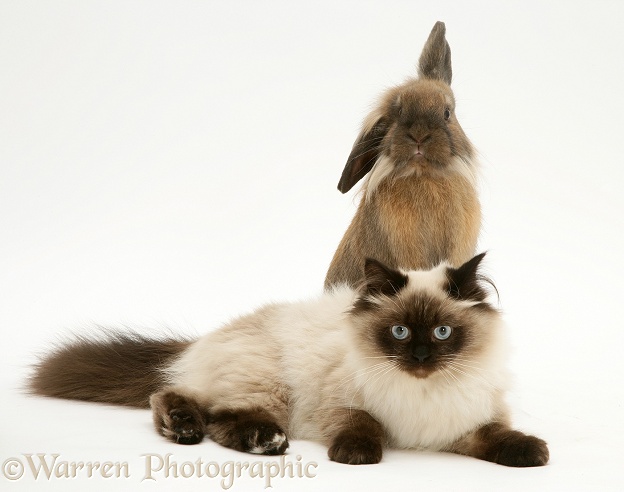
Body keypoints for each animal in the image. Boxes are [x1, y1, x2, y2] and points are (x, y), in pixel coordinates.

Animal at [29, 256, 548, 468]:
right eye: (400, 332)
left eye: (442, 333)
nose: (420, 357)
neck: (422, 392)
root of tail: (205, 338)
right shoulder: (340, 407)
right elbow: (365, 426)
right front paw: (358, 456)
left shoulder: (464, 423)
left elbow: (500, 436)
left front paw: (533, 454)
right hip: (270, 386)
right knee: (196, 406)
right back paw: (243, 439)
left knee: (184, 400)